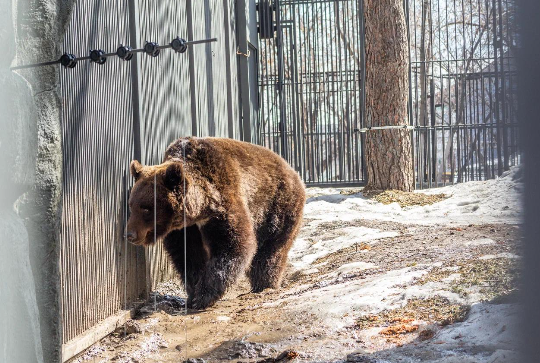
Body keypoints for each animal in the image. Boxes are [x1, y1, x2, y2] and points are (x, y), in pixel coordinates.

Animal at [124, 136, 306, 310]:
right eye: (131, 205)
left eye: (146, 208)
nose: (129, 234)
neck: (197, 210)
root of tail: (292, 170)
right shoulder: (186, 230)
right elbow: (189, 256)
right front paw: (193, 294)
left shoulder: (222, 203)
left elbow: (233, 244)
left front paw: (204, 296)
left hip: (277, 206)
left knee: (270, 251)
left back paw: (264, 284)